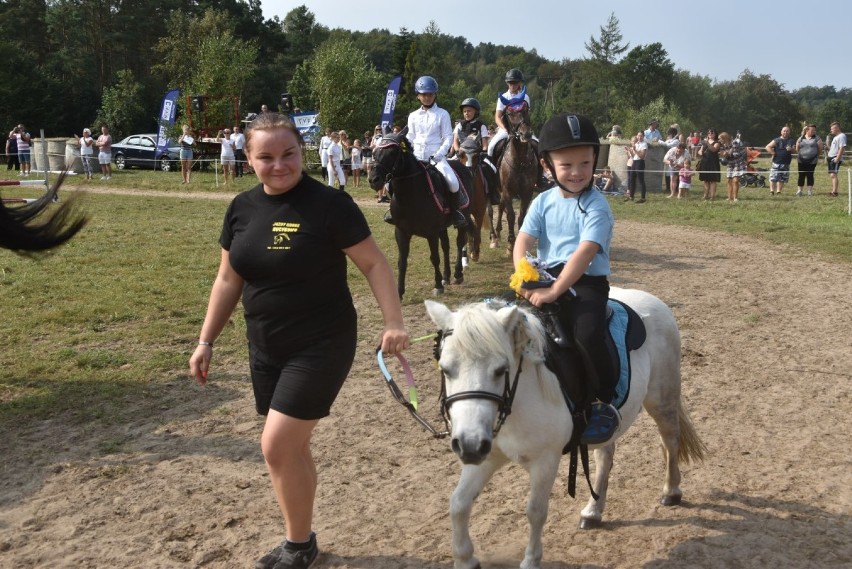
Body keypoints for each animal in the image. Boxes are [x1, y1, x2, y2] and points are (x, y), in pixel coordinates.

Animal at [366, 127, 472, 300]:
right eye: (374, 152)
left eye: (392, 153)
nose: (374, 180)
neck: (411, 195)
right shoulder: (401, 232)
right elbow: (402, 261)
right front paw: (399, 292)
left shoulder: (431, 233)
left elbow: (434, 258)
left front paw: (437, 286)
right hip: (442, 226)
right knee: (446, 246)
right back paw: (446, 276)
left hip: (463, 220)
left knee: (458, 243)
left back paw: (457, 274)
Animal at [424, 288, 704, 568]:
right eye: (445, 369)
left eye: (501, 369)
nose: (468, 445)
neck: (517, 400)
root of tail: (652, 300)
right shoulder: (487, 454)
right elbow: (458, 503)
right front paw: (465, 559)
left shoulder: (545, 460)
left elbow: (535, 511)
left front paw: (531, 560)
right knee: (605, 457)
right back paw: (593, 511)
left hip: (661, 400)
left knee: (670, 441)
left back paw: (671, 491)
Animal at [490, 98, 536, 254]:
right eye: (509, 113)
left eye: (526, 110)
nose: (525, 134)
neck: (520, 161)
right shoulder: (508, 191)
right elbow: (510, 215)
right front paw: (510, 244)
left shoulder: (527, 192)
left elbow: (522, 216)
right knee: (491, 211)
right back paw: (493, 237)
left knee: (500, 207)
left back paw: (498, 233)